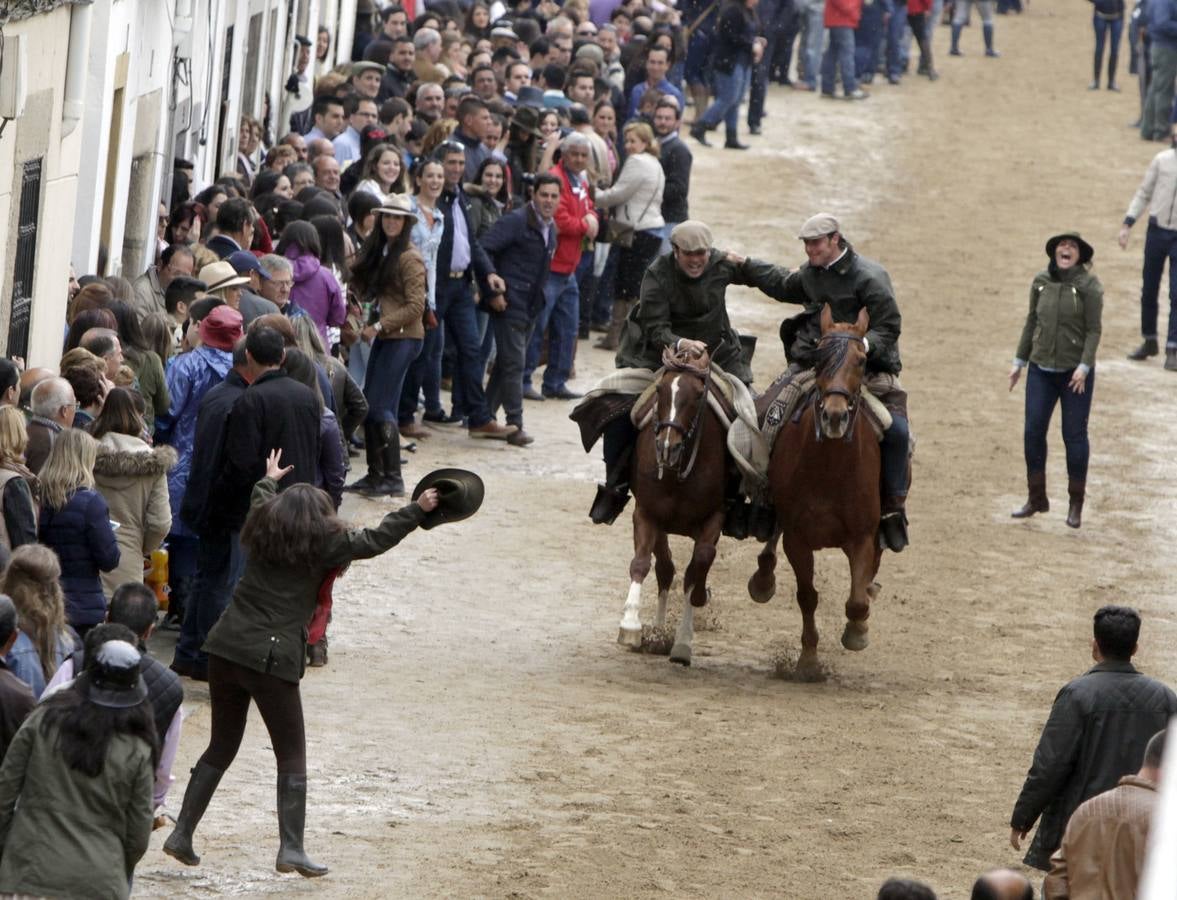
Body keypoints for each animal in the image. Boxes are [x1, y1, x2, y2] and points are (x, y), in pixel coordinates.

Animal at [621, 348, 729, 663]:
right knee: (665, 568)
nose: (668, 446)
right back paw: (657, 631)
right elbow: (642, 563)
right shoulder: (647, 513)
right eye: (660, 389)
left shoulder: (714, 517)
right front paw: (630, 625)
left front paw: (683, 641)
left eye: (698, 395)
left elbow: (698, 566)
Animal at [748, 303, 880, 672]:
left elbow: (856, 600)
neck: (830, 469)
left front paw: (857, 631)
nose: (834, 416)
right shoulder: (798, 537)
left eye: (861, 360)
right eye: (819, 357)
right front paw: (808, 661)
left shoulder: (862, 536)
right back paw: (763, 579)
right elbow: (807, 596)